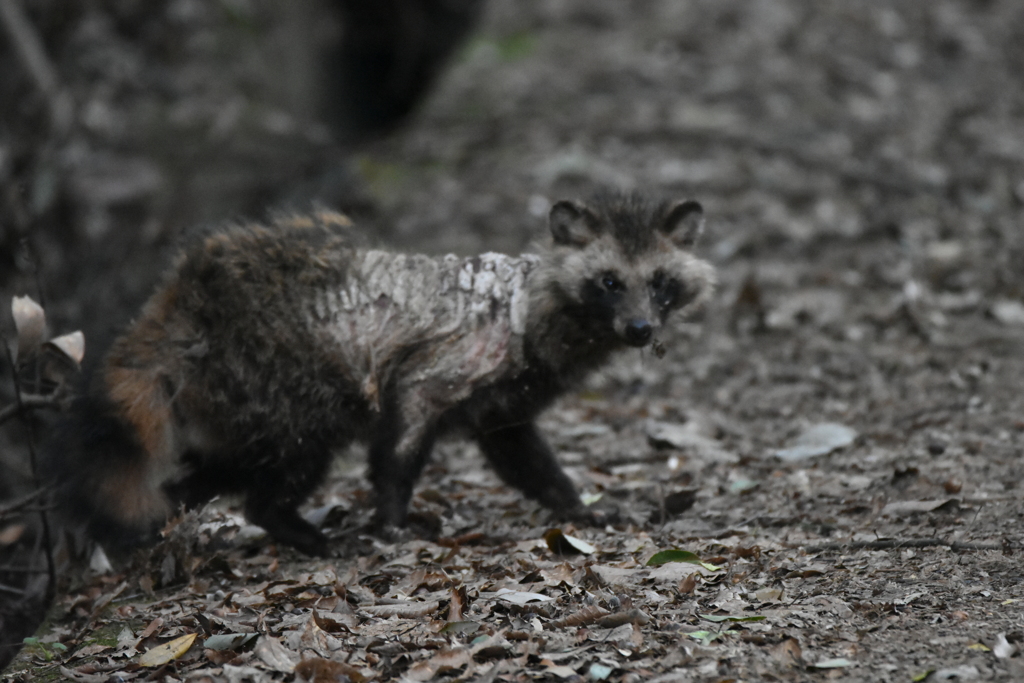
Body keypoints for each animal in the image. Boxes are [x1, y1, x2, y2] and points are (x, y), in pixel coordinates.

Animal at [56, 193, 712, 557]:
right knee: (288, 461)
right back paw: (290, 526)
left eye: (660, 282)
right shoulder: (446, 362)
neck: (537, 304)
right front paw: (392, 518)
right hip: (282, 380)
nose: (640, 330)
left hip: (231, 406)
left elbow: (521, 454)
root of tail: (179, 301)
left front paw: (574, 505)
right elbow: (400, 442)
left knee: (209, 472)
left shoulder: (504, 399)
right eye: (609, 282)